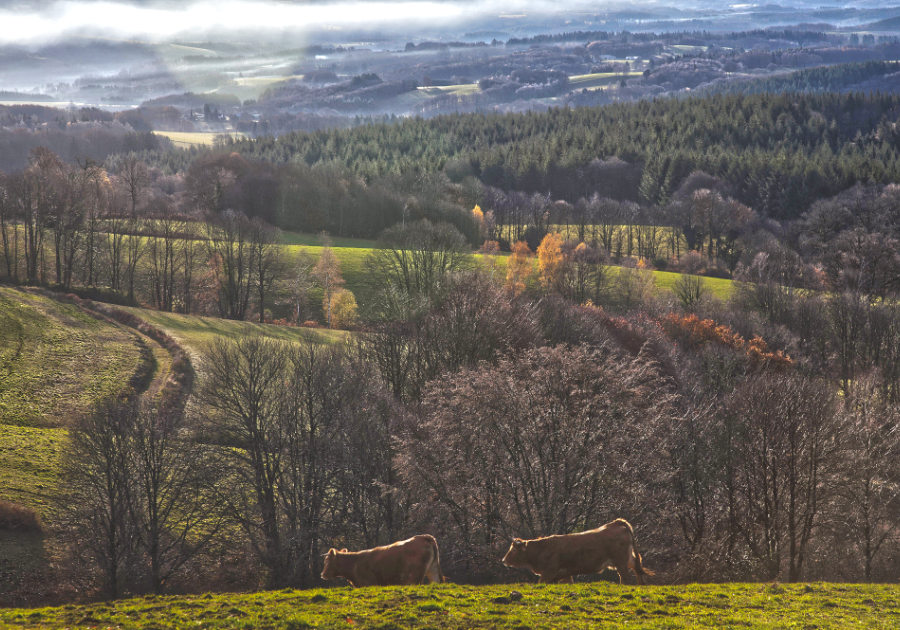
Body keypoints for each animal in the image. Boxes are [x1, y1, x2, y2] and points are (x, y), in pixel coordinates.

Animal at [500, 520, 652, 584]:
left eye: (513, 550)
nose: (504, 560)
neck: (542, 549)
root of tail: (616, 524)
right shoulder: (565, 574)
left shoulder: (548, 572)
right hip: (629, 560)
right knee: (638, 573)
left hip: (621, 562)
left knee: (626, 578)